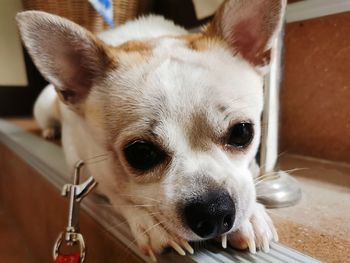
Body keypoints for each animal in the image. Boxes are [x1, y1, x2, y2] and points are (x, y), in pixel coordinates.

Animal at [15, 0, 284, 260]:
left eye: (242, 133)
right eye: (140, 154)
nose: (213, 211)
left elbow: (248, 182)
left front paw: (250, 217)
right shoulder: (86, 165)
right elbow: (118, 192)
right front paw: (151, 224)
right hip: (44, 107)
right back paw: (50, 131)